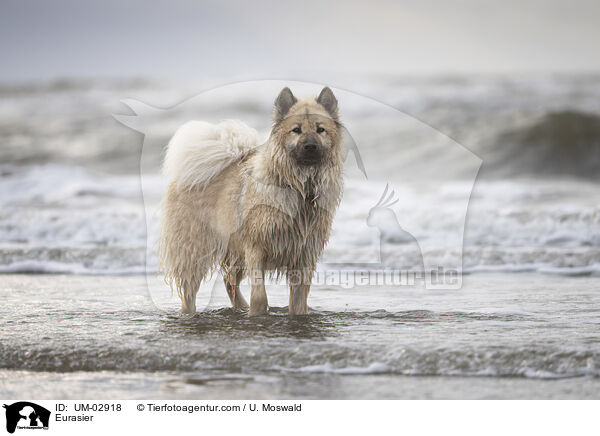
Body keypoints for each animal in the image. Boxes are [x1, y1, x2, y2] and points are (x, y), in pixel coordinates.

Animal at [158, 87, 342, 316]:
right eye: (296, 130)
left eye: (320, 130)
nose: (310, 146)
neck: (299, 188)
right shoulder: (255, 248)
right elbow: (260, 295)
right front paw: (258, 313)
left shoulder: (304, 255)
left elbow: (299, 301)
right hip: (194, 250)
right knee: (189, 291)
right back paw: (191, 313)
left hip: (234, 252)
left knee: (229, 282)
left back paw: (240, 307)